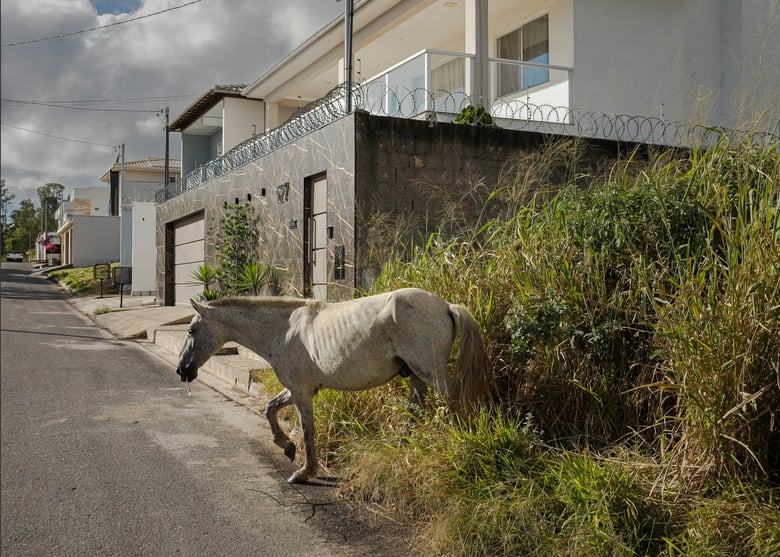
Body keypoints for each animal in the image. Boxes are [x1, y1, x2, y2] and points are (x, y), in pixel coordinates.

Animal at [177, 286, 488, 482]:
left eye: (191, 330)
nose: (182, 369)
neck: (284, 329)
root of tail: (446, 306)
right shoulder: (298, 389)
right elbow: (270, 409)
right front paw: (286, 446)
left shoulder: (302, 392)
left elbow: (307, 431)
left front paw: (305, 471)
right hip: (416, 379)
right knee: (415, 413)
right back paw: (404, 449)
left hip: (431, 374)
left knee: (451, 403)